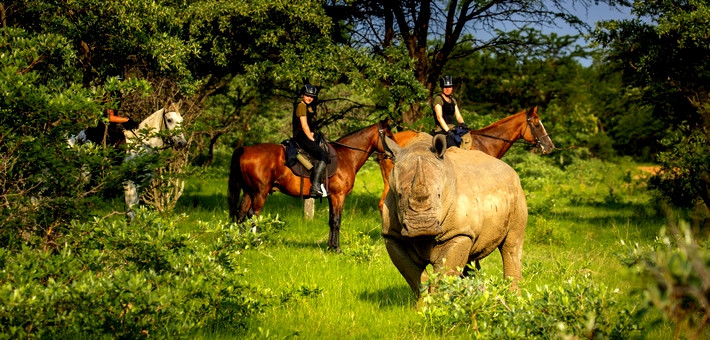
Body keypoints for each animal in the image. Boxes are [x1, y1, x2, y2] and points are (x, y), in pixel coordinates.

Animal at [228, 118, 394, 251]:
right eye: (389, 136)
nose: (394, 154)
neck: (346, 156)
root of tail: (245, 149)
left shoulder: (331, 197)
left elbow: (331, 220)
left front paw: (330, 247)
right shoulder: (339, 196)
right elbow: (336, 221)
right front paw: (337, 249)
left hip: (249, 192)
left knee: (241, 214)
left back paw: (241, 242)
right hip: (259, 193)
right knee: (252, 215)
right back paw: (256, 242)